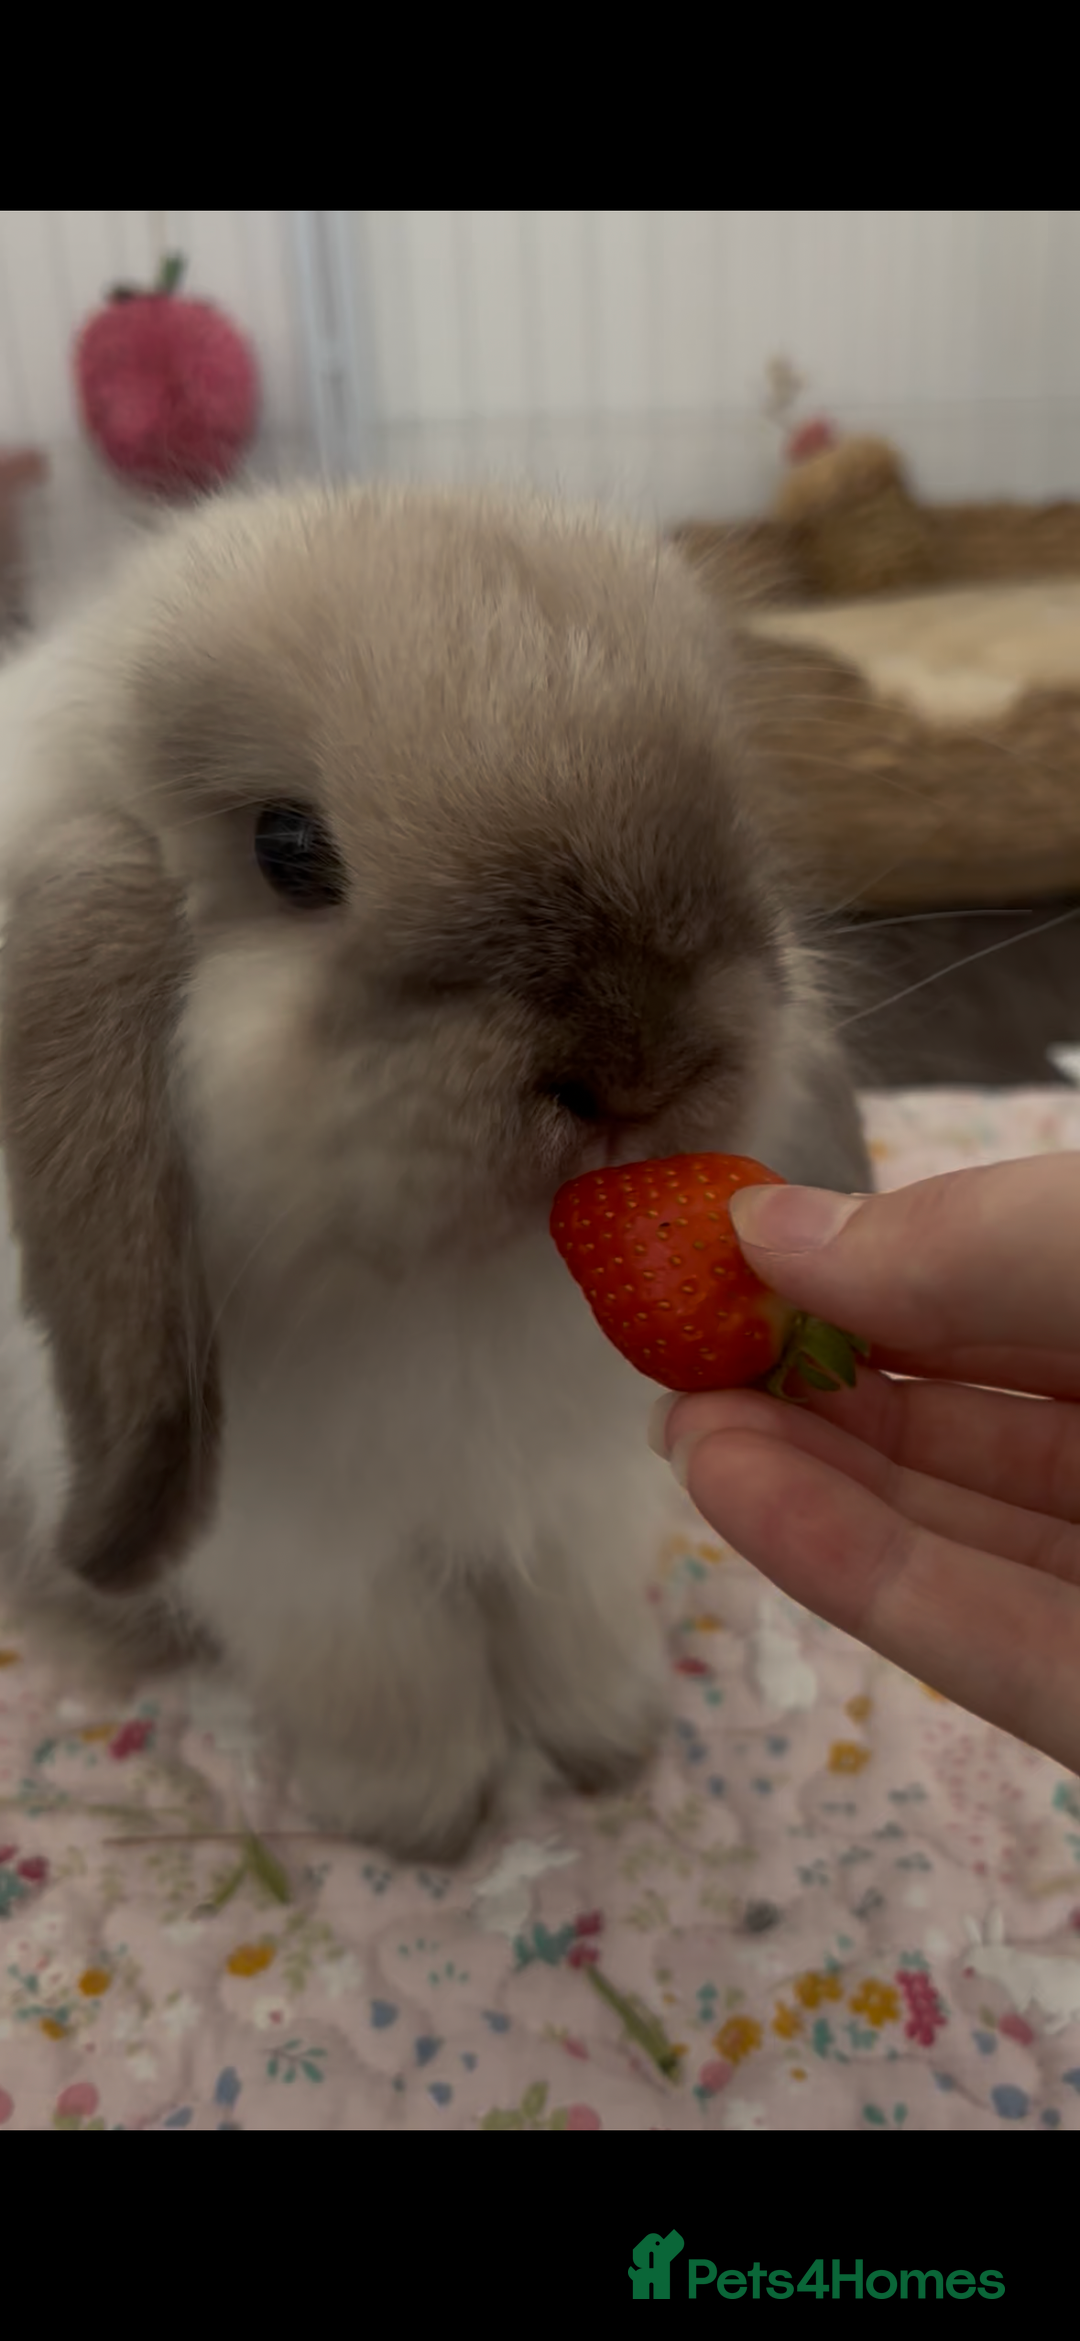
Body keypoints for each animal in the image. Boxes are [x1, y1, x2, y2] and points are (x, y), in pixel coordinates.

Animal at [0, 480, 870, 1861]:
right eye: (288, 847)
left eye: (727, 804)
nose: (638, 1055)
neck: (462, 1297)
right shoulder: (317, 1569)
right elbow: (391, 1681)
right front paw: (425, 1820)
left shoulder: (573, 1512)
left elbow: (569, 1630)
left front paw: (609, 1745)